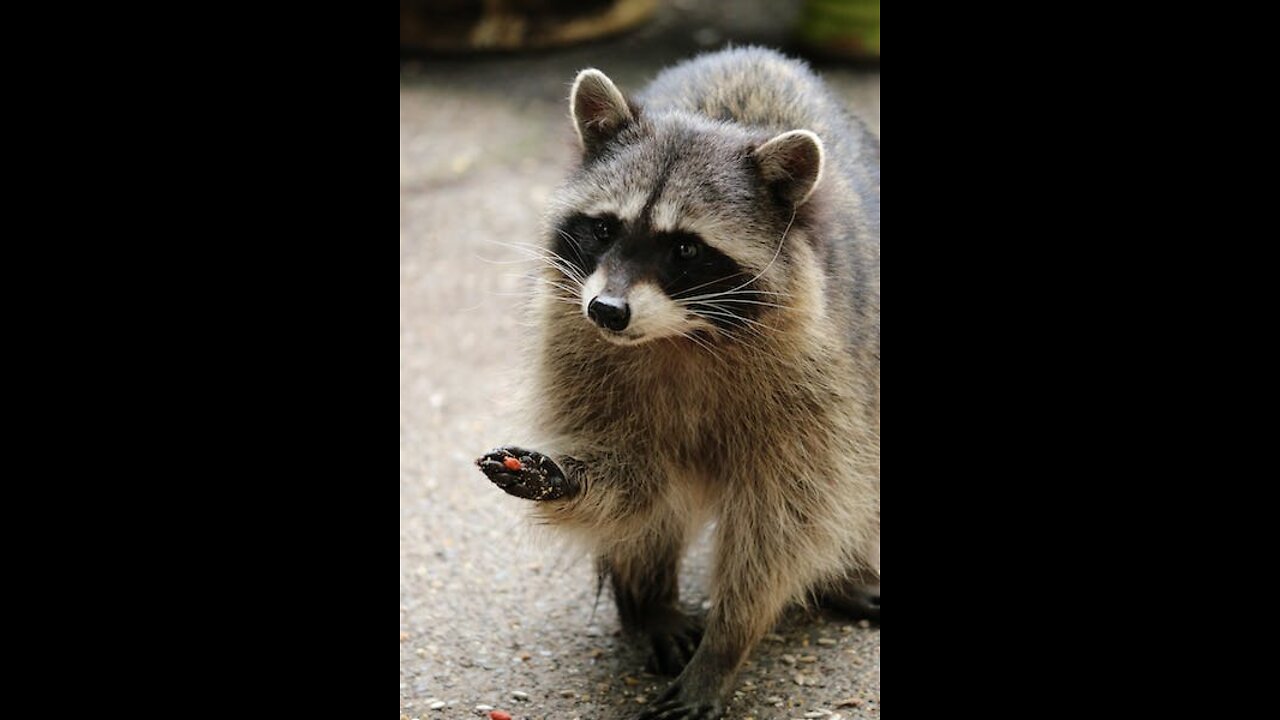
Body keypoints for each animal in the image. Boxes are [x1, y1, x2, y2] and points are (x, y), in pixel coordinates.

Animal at [478, 47, 880, 712]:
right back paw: (649, 602)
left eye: (686, 250)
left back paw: (842, 573)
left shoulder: (821, 376)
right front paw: (574, 482)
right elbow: (637, 482)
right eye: (605, 229)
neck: (679, 336)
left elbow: (786, 519)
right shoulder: (573, 344)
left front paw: (728, 643)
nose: (607, 311)